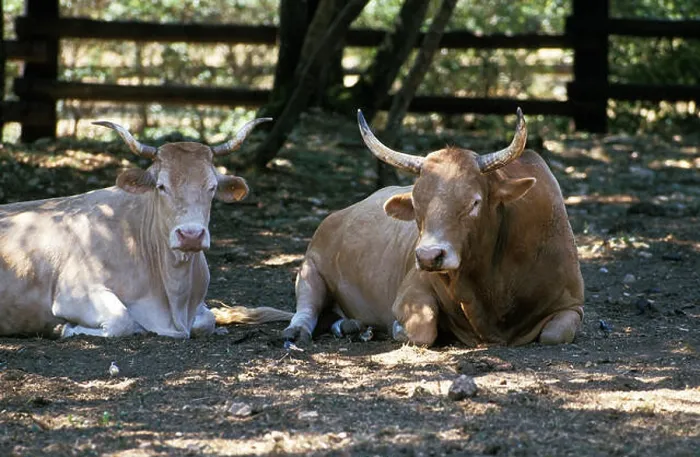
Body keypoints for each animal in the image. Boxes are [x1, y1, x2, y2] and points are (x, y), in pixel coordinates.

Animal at [0, 118, 290, 339]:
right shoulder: (74, 293)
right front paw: (65, 329)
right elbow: (123, 322)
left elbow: (207, 320)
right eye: (161, 186)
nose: (191, 235)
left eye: (212, 187)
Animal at [278, 108, 584, 347]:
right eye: (416, 202)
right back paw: (300, 331)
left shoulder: (573, 306)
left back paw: (350, 325)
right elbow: (423, 327)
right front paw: (396, 328)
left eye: (474, 202)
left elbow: (554, 334)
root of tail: (337, 215)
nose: (428, 256)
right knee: (307, 307)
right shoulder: (411, 290)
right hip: (310, 269)